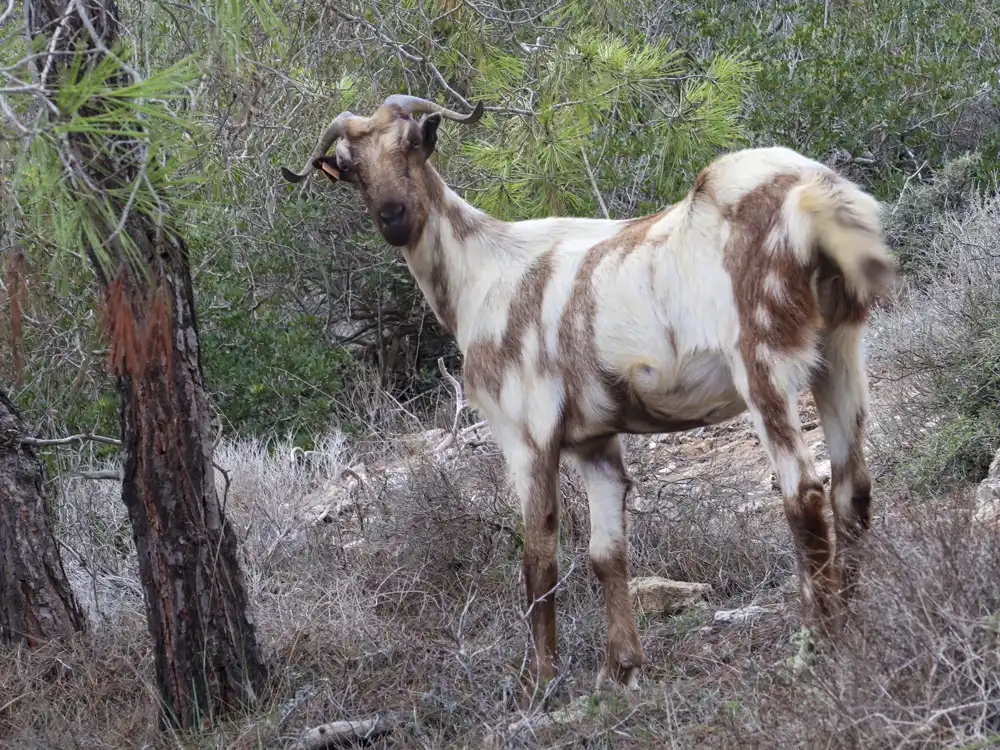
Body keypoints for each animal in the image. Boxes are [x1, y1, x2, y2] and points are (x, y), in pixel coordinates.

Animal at [282, 94, 900, 692]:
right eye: (350, 167)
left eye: (414, 142)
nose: (395, 219)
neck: (483, 273)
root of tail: (814, 192)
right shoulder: (595, 443)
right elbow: (607, 554)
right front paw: (620, 669)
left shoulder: (527, 435)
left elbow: (539, 558)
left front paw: (541, 682)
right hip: (839, 353)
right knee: (852, 488)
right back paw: (853, 631)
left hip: (761, 362)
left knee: (805, 495)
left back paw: (813, 649)